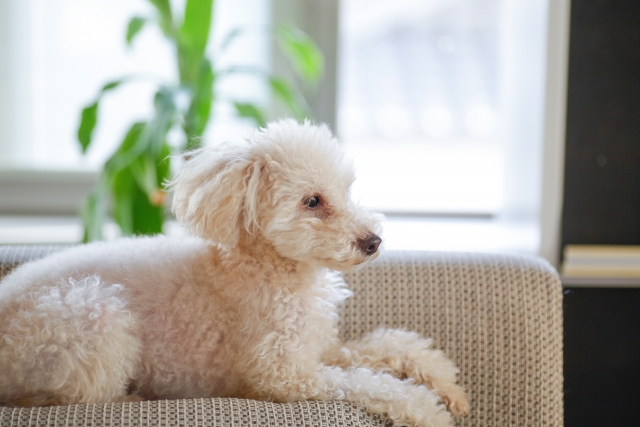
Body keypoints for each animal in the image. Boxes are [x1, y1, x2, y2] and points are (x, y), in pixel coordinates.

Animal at [0, 118, 470, 426]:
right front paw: (427, 409)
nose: (373, 242)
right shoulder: (284, 375)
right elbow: (368, 383)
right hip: (95, 316)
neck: (273, 267)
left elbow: (388, 344)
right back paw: (131, 400)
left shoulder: (320, 347)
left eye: (346, 190)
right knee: (70, 396)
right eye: (312, 202)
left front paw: (448, 387)